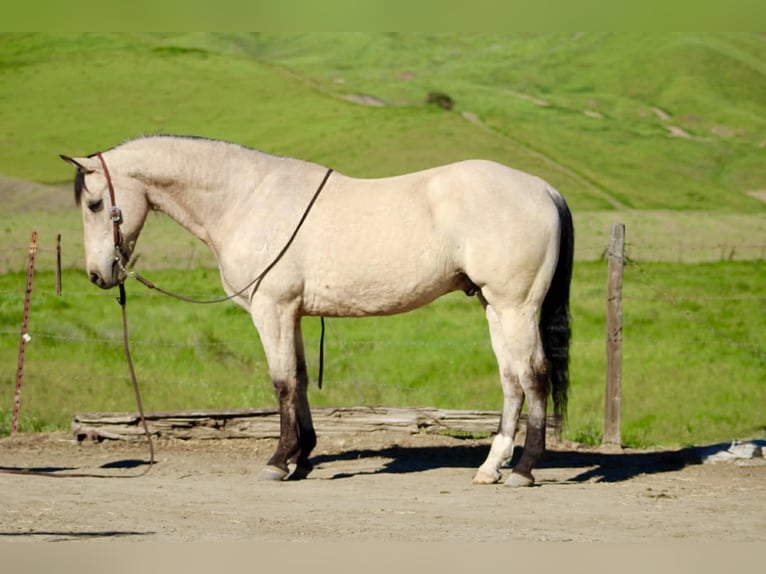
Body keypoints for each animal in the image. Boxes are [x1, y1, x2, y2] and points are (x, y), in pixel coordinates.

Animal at [61, 134, 573, 487]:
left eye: (95, 204)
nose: (98, 274)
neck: (247, 199)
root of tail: (544, 188)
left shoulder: (271, 310)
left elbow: (282, 382)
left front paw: (278, 461)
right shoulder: (292, 314)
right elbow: (301, 379)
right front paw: (301, 458)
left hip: (515, 307)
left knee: (534, 376)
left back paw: (525, 469)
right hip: (494, 307)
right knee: (510, 380)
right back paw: (491, 466)